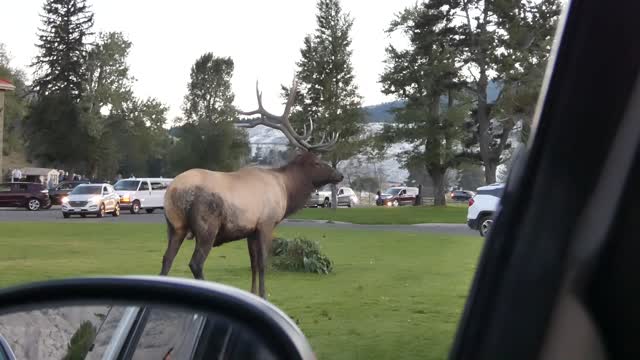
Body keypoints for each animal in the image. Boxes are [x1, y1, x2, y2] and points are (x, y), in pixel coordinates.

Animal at [160, 78, 342, 298]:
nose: (339, 175)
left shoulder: (250, 229)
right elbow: (263, 263)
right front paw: (263, 295)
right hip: (207, 226)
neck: (285, 189)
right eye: (317, 162)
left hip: (175, 226)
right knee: (196, 263)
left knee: (166, 259)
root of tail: (172, 191)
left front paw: (252, 292)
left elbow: (253, 263)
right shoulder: (266, 222)